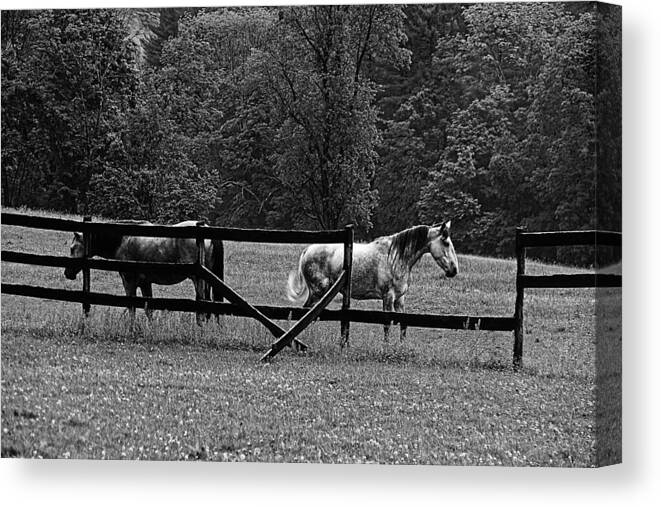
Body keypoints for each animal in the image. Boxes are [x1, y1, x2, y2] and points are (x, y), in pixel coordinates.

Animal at [286, 222, 456, 342]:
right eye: (446, 243)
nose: (454, 270)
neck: (395, 257)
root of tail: (307, 250)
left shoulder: (400, 298)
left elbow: (403, 324)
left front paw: (401, 346)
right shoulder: (388, 297)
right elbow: (387, 324)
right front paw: (387, 347)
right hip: (318, 291)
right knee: (306, 313)